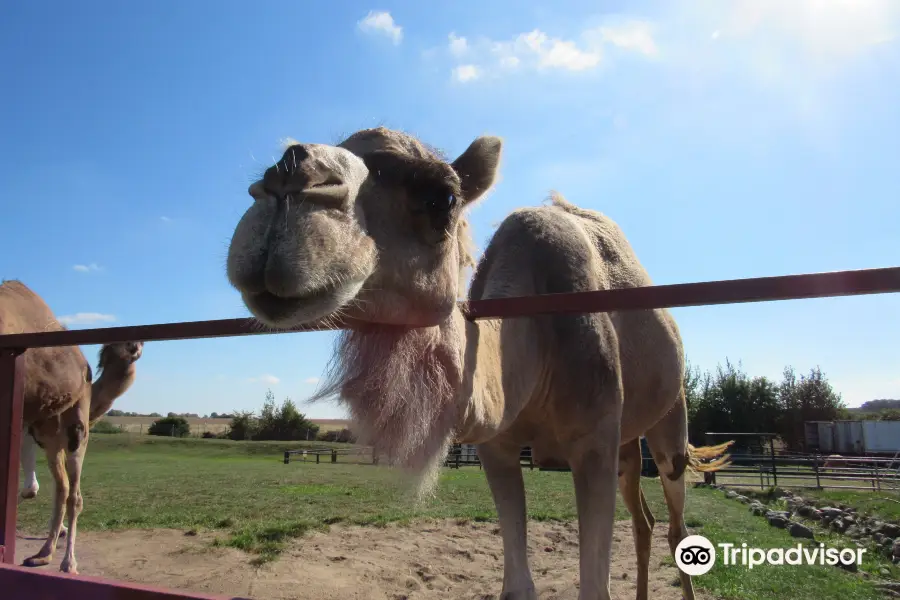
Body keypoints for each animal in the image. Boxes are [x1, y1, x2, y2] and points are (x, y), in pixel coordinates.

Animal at [0, 278, 142, 576]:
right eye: (120, 343)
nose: (135, 344)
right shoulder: (35, 429)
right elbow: (35, 488)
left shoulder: (39, 430)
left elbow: (39, 488)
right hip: (72, 431)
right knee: (70, 492)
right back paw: (61, 559)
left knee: (67, 491)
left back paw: (52, 557)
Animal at [223, 127, 732, 600]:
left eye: (443, 197)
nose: (288, 178)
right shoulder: (497, 448)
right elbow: (517, 585)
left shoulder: (594, 440)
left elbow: (595, 587)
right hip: (628, 446)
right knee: (644, 521)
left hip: (669, 422)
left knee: (676, 523)